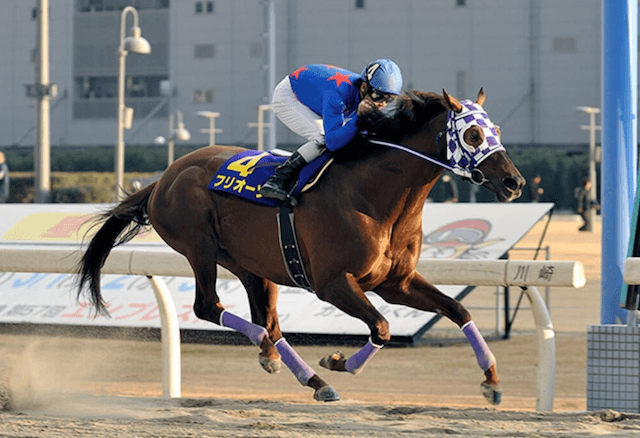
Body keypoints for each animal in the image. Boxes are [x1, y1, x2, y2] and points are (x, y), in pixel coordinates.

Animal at [76, 88, 524, 404]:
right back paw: (299, 365)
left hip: (251, 265)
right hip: (199, 246)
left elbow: (458, 310)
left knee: (268, 322)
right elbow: (381, 326)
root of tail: (164, 177)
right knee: (209, 307)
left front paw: (491, 380)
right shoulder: (332, 283)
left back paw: (294, 368)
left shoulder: (395, 282)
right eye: (472, 133)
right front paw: (339, 362)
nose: (514, 182)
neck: (374, 195)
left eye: (498, 131)